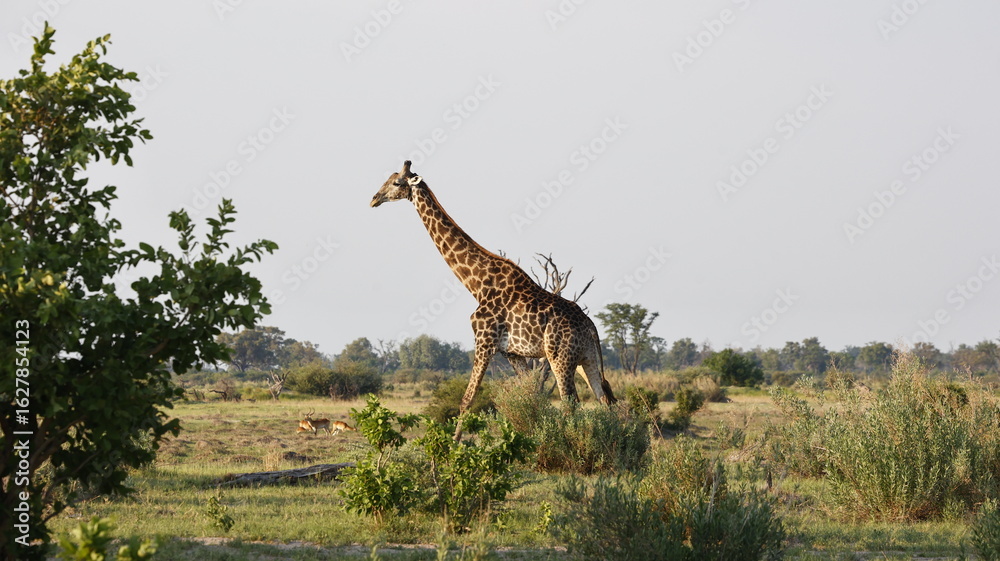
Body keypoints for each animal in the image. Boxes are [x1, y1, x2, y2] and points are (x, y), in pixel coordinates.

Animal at [370, 161, 616, 439]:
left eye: (396, 182)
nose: (374, 199)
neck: (477, 284)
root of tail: (591, 327)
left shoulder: (484, 340)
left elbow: (467, 399)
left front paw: (453, 446)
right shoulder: (512, 353)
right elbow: (532, 397)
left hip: (560, 357)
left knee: (570, 402)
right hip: (586, 359)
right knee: (604, 400)